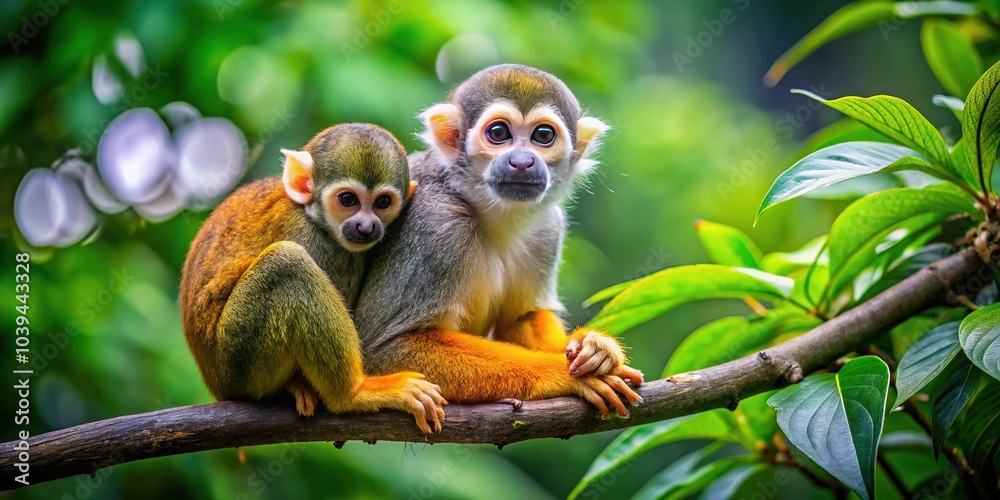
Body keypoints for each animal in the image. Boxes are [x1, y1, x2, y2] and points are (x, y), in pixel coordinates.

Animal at [180, 123, 447, 433]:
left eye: (382, 202)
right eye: (348, 199)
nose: (366, 227)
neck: (312, 216)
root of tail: (215, 384)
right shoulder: (304, 233)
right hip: (236, 363)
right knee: (288, 266)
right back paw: (352, 395)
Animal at [353, 65, 644, 417]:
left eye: (543, 136)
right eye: (499, 133)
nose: (522, 162)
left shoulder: (548, 228)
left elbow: (518, 319)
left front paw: (594, 345)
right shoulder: (437, 225)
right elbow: (386, 348)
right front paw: (560, 374)